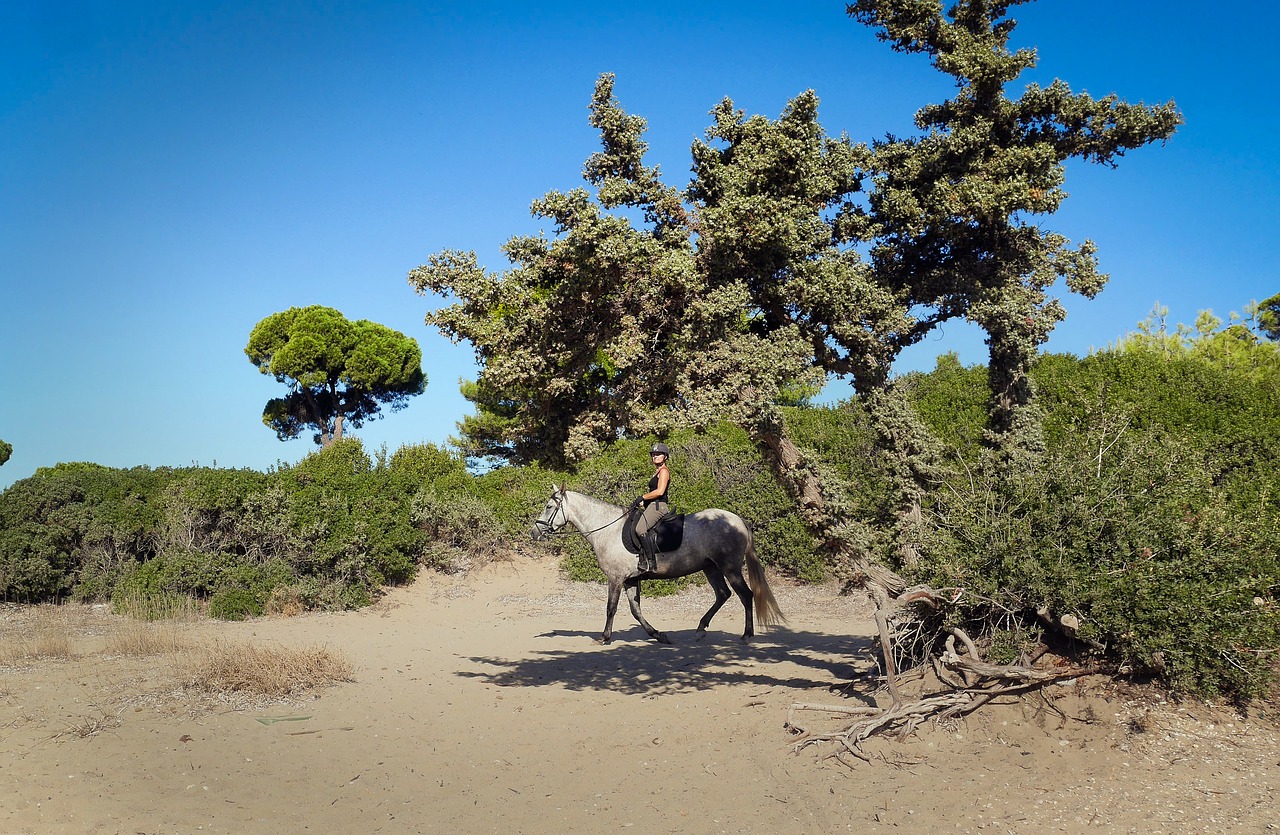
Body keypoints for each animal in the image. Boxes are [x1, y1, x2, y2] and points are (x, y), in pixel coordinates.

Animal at [527, 481, 778, 645]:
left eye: (549, 507)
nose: (534, 532)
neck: (608, 529)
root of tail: (737, 519)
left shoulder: (615, 578)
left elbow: (611, 608)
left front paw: (604, 637)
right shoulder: (630, 580)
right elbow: (636, 610)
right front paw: (658, 635)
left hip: (729, 567)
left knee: (745, 595)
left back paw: (746, 635)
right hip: (710, 567)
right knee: (723, 594)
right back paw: (700, 629)